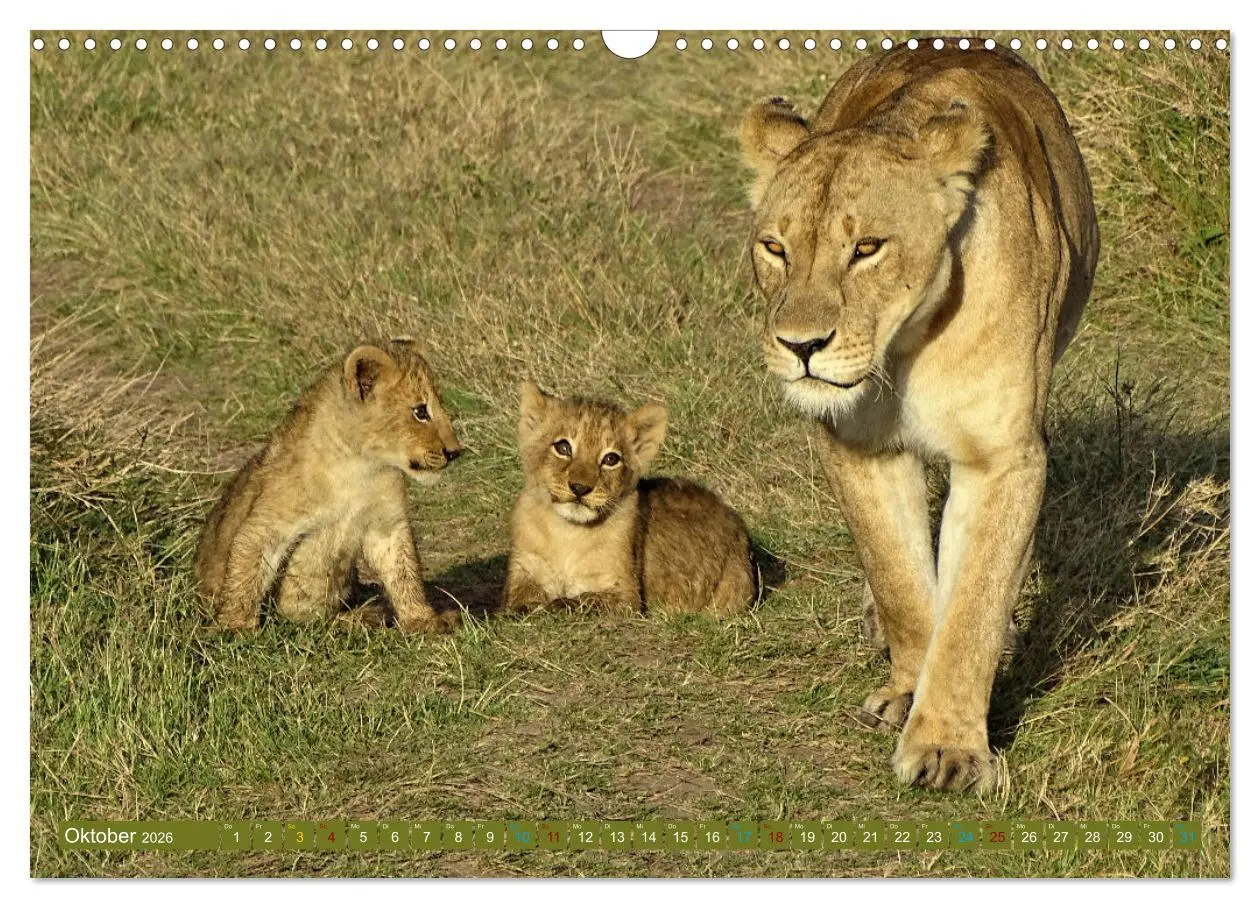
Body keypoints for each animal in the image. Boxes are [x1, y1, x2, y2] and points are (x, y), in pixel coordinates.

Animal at [739, 41, 1098, 792]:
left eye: (867, 248)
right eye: (775, 248)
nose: (801, 347)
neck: (903, 346)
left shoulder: (1004, 456)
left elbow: (973, 608)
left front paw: (948, 749)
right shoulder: (857, 445)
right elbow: (901, 580)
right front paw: (908, 692)